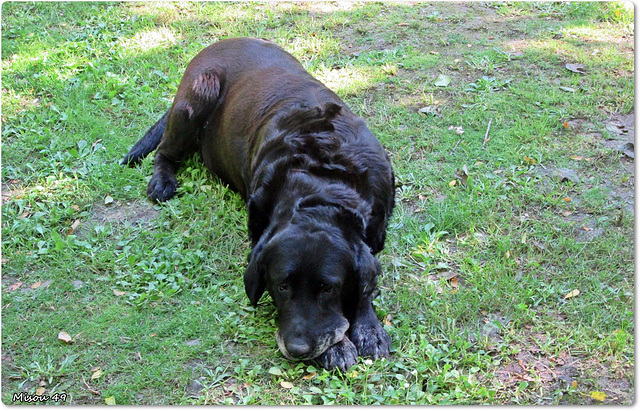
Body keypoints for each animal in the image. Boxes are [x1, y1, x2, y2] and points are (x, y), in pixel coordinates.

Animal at [122, 37, 396, 374]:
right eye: (281, 287)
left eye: (328, 288)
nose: (297, 349)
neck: (321, 184)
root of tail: (221, 42)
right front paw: (337, 346)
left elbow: (366, 285)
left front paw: (368, 326)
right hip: (197, 94)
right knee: (164, 151)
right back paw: (162, 181)